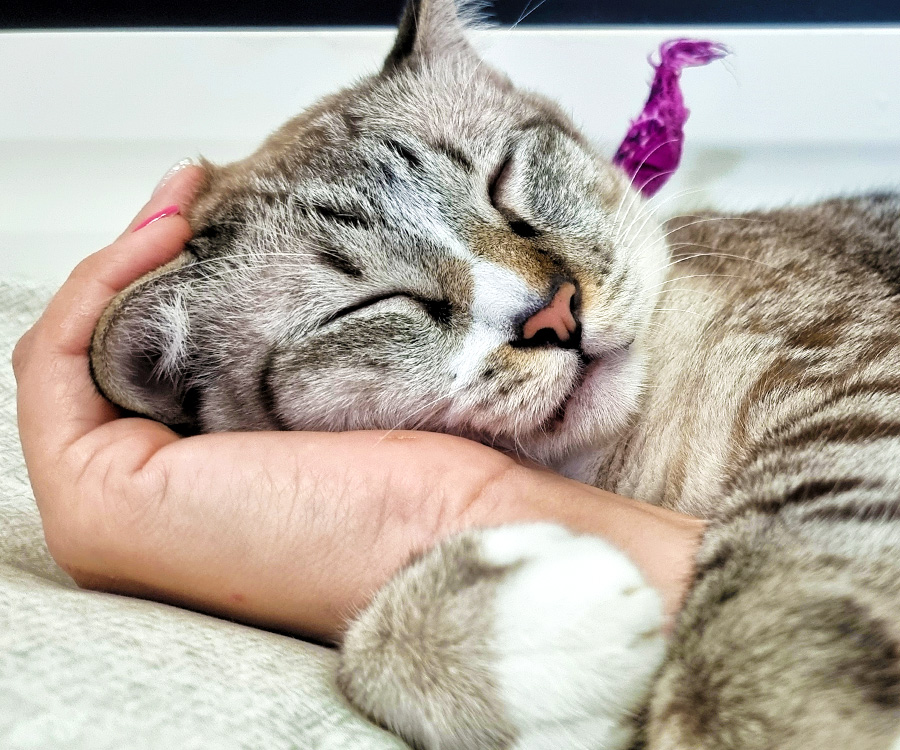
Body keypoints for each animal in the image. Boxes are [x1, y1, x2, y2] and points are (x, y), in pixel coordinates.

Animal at [88, 1, 900, 750]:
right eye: (377, 304)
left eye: (503, 186)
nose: (556, 313)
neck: (621, 466)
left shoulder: (851, 376)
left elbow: (795, 575)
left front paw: (751, 711)